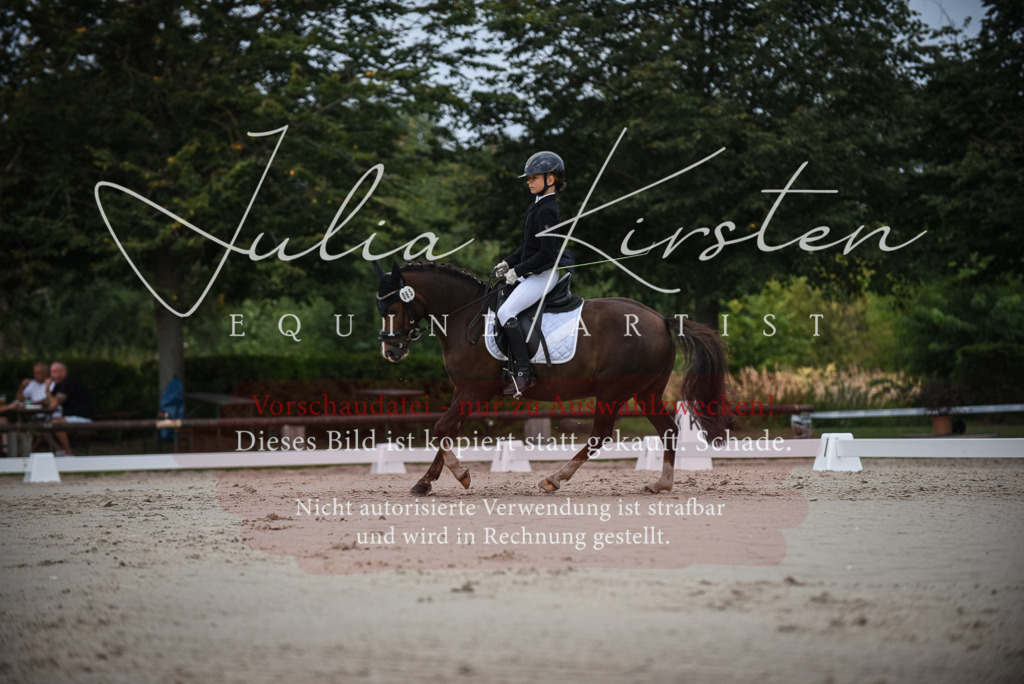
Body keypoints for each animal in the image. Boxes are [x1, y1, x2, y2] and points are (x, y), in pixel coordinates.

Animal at [374, 261, 731, 495]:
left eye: (392, 307)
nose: (390, 351)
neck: (466, 315)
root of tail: (662, 320)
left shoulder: (474, 391)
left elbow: (440, 428)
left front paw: (460, 475)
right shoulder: (464, 391)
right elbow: (447, 431)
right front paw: (425, 482)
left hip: (613, 391)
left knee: (600, 435)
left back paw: (554, 479)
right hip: (646, 392)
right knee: (668, 430)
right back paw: (661, 484)